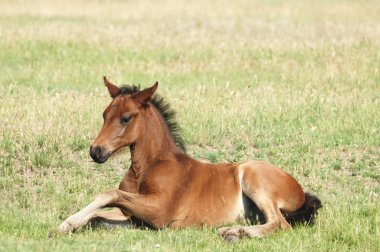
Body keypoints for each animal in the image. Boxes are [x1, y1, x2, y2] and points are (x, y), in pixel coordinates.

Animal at [58, 77, 322, 242]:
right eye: (104, 115)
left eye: (125, 118)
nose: (96, 151)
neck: (148, 167)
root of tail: (301, 192)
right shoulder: (136, 219)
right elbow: (98, 217)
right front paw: (73, 225)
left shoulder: (160, 212)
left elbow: (109, 194)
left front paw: (66, 223)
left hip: (253, 177)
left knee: (280, 224)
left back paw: (234, 232)